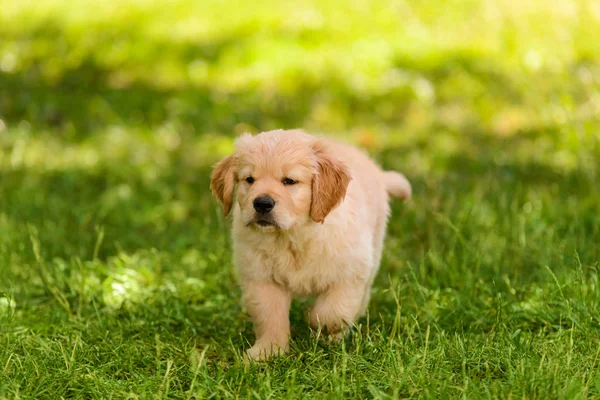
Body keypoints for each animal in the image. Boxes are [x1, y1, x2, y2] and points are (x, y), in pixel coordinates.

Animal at [209, 129, 410, 360]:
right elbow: (270, 317)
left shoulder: (350, 272)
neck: (292, 237)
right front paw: (267, 351)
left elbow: (331, 313)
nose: (261, 203)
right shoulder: (261, 278)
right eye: (249, 179)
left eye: (289, 181)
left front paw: (317, 325)